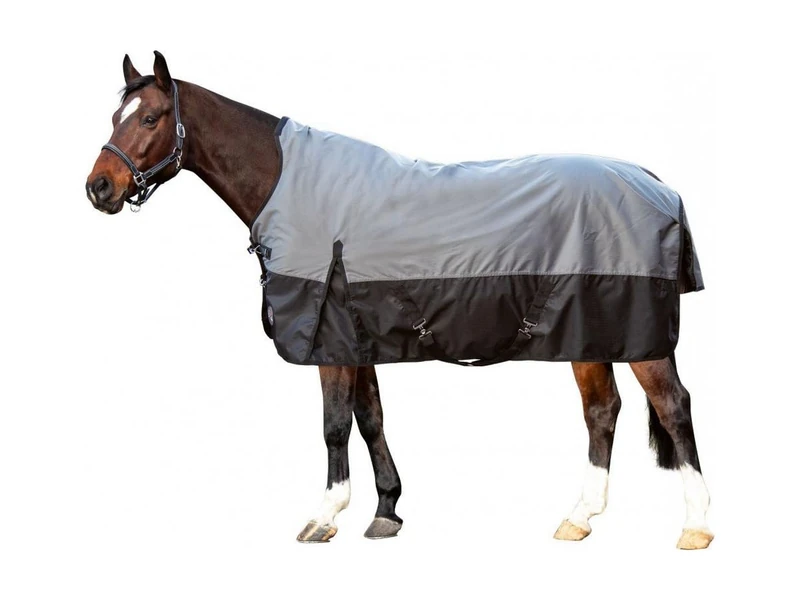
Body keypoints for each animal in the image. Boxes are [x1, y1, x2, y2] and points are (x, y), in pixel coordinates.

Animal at [85, 51, 713, 550]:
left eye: (150, 117)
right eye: (116, 116)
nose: (99, 187)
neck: (293, 185)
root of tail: (657, 184)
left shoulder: (330, 340)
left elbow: (334, 424)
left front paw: (324, 516)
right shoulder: (355, 337)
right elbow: (370, 419)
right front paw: (386, 510)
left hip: (640, 338)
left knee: (673, 407)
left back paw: (697, 526)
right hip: (589, 332)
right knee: (602, 411)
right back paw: (580, 517)